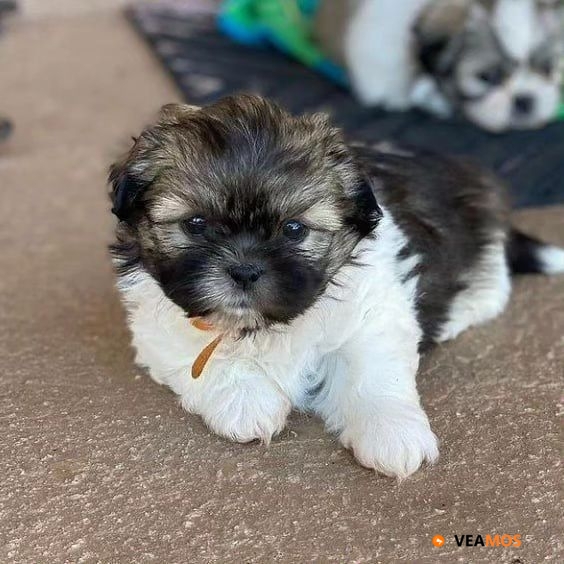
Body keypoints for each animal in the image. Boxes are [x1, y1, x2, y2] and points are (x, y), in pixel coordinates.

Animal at [110, 94, 564, 478]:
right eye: (196, 224)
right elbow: (195, 355)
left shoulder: (374, 312)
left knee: (492, 283)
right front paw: (244, 400)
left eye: (294, 229)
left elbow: (375, 372)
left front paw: (392, 432)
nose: (244, 270)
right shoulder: (155, 320)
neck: (267, 326)